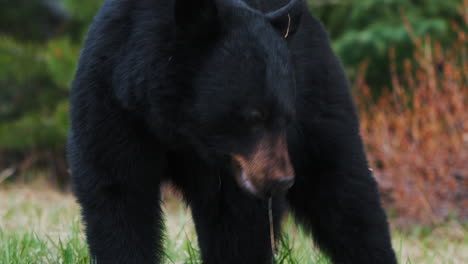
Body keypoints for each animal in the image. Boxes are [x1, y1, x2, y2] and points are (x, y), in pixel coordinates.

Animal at [69, 0, 396, 264]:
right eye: (253, 116)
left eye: (286, 118)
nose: (282, 180)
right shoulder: (112, 107)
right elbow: (118, 195)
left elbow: (237, 222)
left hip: (320, 98)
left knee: (346, 194)